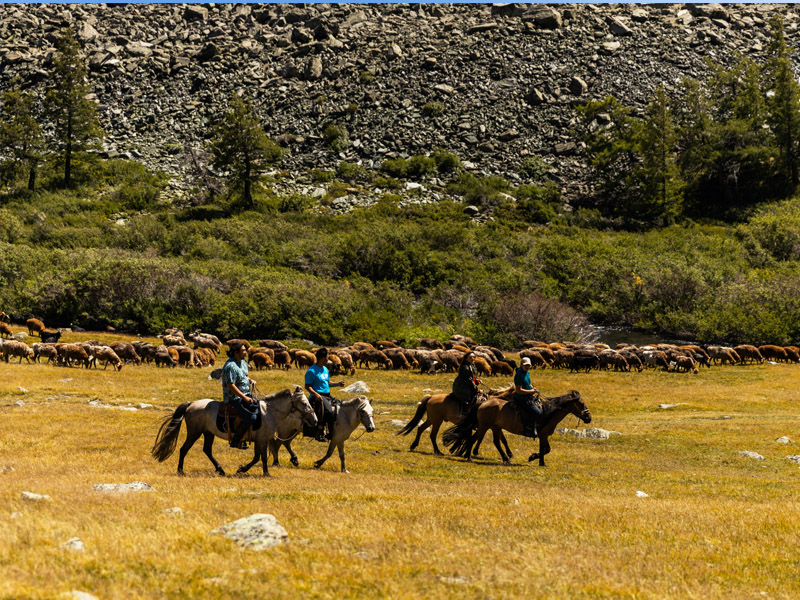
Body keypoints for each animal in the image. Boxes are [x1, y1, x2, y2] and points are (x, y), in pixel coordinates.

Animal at [150, 384, 316, 478]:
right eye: (304, 403)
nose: (314, 420)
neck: (269, 412)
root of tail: (192, 404)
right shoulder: (262, 439)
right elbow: (262, 458)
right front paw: (266, 473)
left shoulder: (259, 440)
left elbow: (257, 457)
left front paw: (242, 469)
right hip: (194, 432)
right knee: (184, 449)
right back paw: (180, 471)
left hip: (208, 433)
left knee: (207, 450)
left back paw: (220, 470)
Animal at [440, 390, 592, 468]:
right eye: (581, 403)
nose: (588, 418)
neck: (547, 412)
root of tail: (483, 403)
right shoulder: (542, 435)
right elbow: (544, 449)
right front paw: (538, 461)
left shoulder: (544, 435)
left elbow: (547, 449)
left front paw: (535, 459)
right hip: (484, 426)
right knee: (473, 439)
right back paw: (469, 457)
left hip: (495, 427)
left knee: (496, 442)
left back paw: (506, 459)